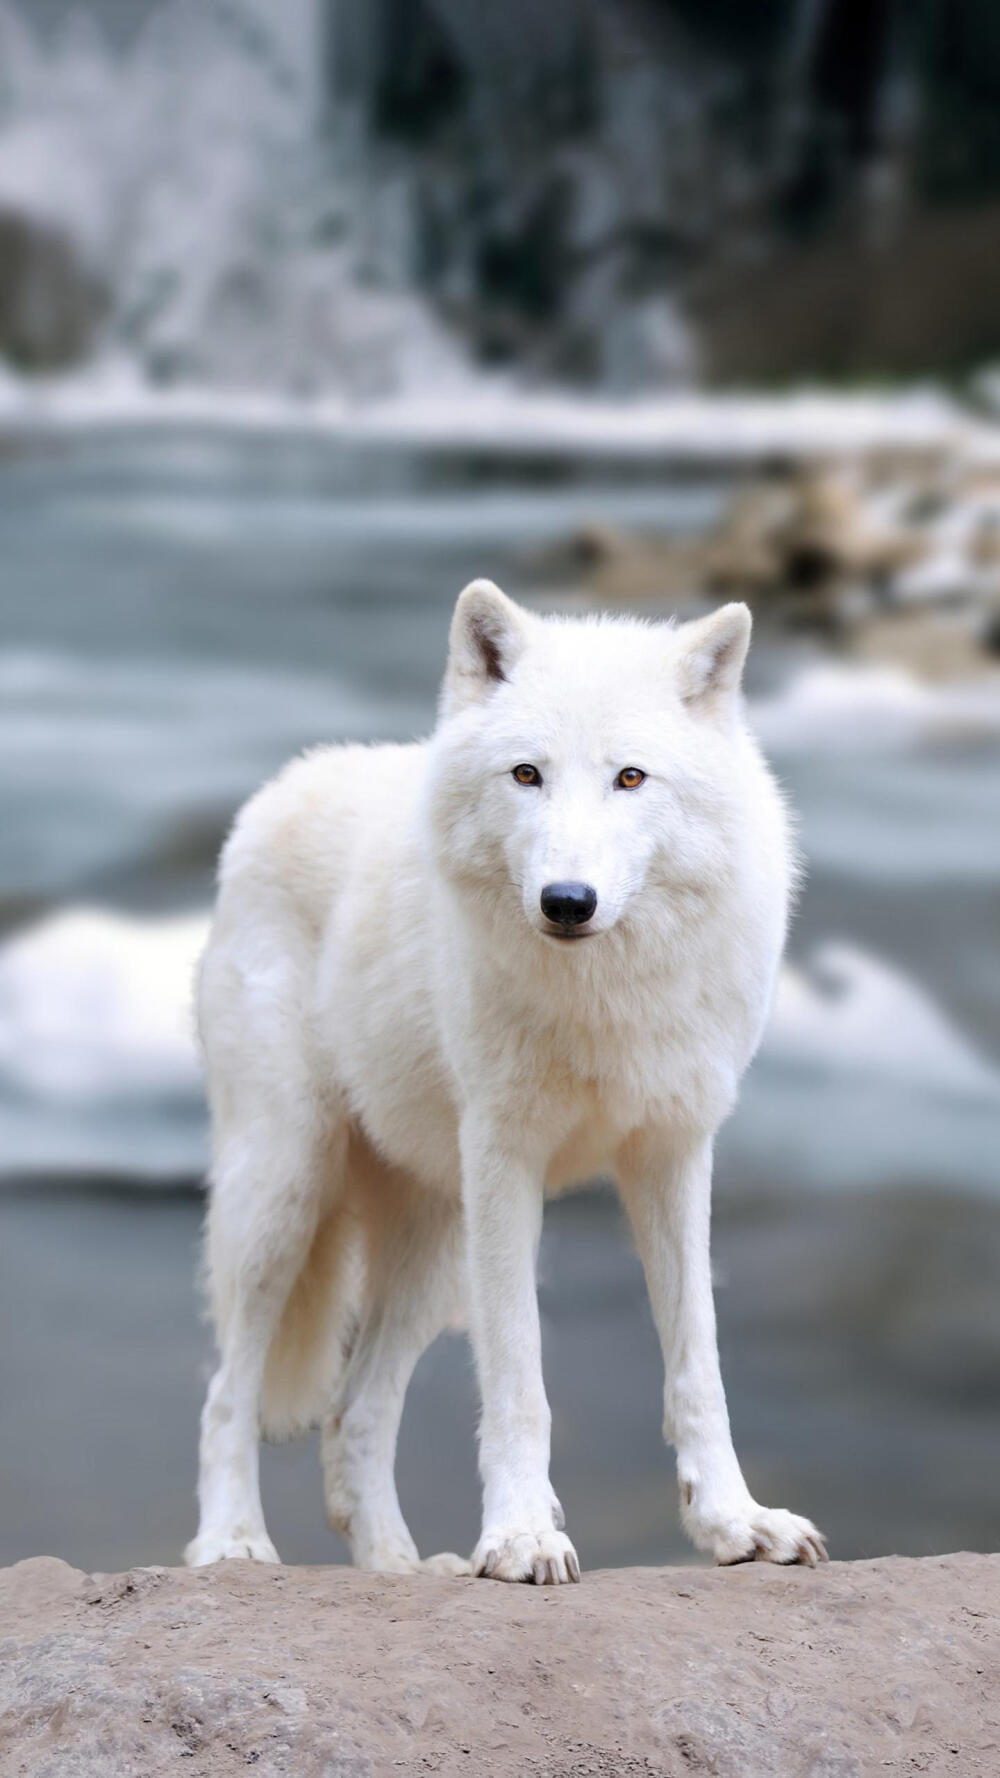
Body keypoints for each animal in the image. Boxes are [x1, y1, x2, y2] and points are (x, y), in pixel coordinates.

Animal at [186, 583, 825, 1585]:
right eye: (527, 775)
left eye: (631, 778)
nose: (567, 901)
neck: (601, 997)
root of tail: (282, 784)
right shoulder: (505, 1162)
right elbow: (520, 1377)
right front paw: (523, 1536)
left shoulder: (674, 1153)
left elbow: (699, 1366)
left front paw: (734, 1523)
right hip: (285, 1195)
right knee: (228, 1390)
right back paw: (233, 1543)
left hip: (431, 1248)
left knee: (354, 1415)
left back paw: (404, 1570)